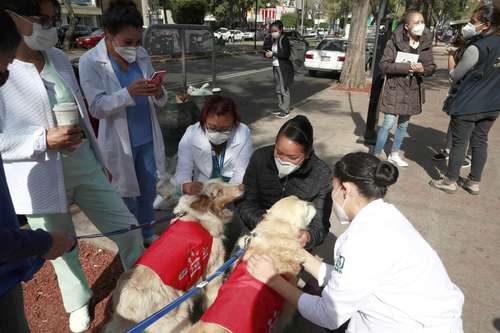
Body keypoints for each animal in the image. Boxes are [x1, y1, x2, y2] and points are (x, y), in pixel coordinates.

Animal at [104, 179, 245, 332]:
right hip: (179, 315)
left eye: (223, 181)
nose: (242, 186)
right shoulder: (213, 271)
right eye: (219, 192)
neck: (197, 217)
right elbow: (213, 296)